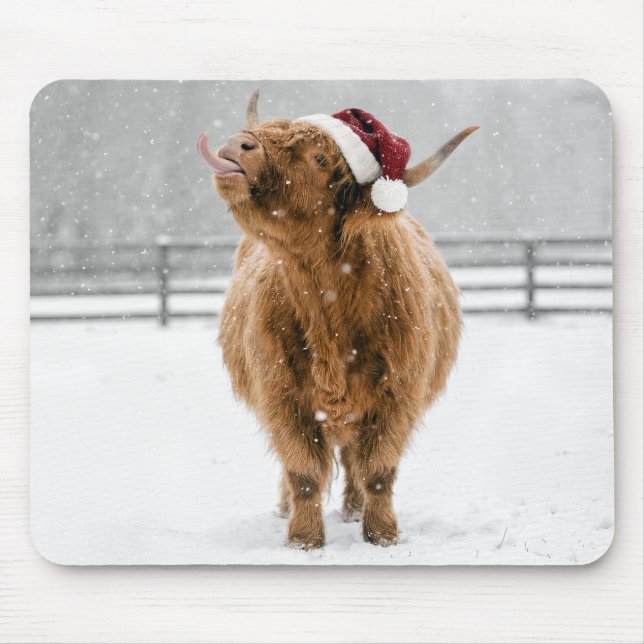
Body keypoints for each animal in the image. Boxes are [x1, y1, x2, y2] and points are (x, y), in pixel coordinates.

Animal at [197, 90, 477, 549]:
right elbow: (303, 471)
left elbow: (378, 468)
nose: (238, 144)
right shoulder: (281, 394)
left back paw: (352, 510)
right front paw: (303, 539)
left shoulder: (398, 393)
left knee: (354, 457)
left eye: (320, 157)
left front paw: (382, 534)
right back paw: (287, 509)